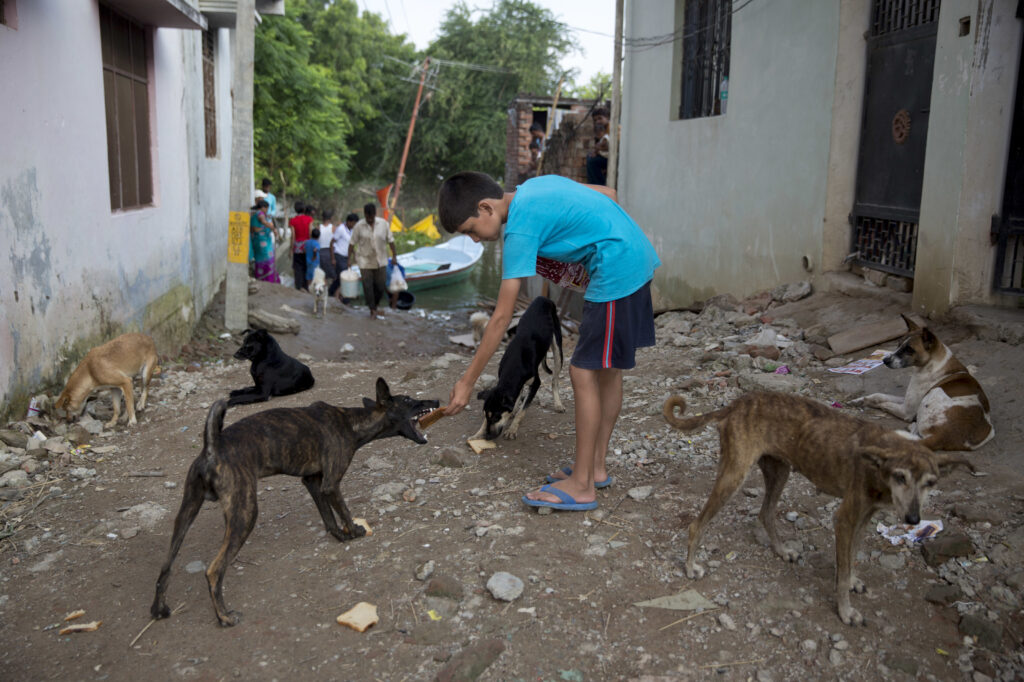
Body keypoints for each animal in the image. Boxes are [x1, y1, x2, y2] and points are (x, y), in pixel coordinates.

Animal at [149, 376, 438, 626]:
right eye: (409, 399)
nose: (435, 399)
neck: (352, 421)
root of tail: (212, 447)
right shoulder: (331, 484)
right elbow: (343, 511)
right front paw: (355, 531)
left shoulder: (313, 482)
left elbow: (328, 518)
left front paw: (341, 536)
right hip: (245, 515)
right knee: (213, 571)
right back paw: (224, 617)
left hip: (186, 514)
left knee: (165, 567)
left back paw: (159, 609)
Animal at [473, 294, 565, 438]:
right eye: (487, 417)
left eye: (496, 417)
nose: (487, 436)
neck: (514, 366)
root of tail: (542, 298)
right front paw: (479, 433)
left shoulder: (536, 383)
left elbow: (522, 411)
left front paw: (512, 429)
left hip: (558, 349)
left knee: (554, 380)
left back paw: (558, 404)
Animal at [659, 391, 970, 622]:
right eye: (900, 476)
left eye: (931, 483)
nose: (914, 519)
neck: (879, 466)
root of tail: (734, 405)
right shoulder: (844, 519)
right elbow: (841, 575)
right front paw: (845, 612)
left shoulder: (864, 516)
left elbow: (851, 557)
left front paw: (853, 579)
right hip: (734, 475)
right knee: (696, 524)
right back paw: (690, 567)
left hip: (779, 471)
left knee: (765, 513)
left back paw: (782, 551)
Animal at [856, 315, 991, 450]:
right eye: (899, 344)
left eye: (909, 349)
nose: (885, 360)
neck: (933, 363)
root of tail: (943, 437)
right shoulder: (908, 400)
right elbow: (879, 395)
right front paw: (860, 400)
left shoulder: (906, 409)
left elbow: (883, 402)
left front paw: (868, 402)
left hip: (935, 391)